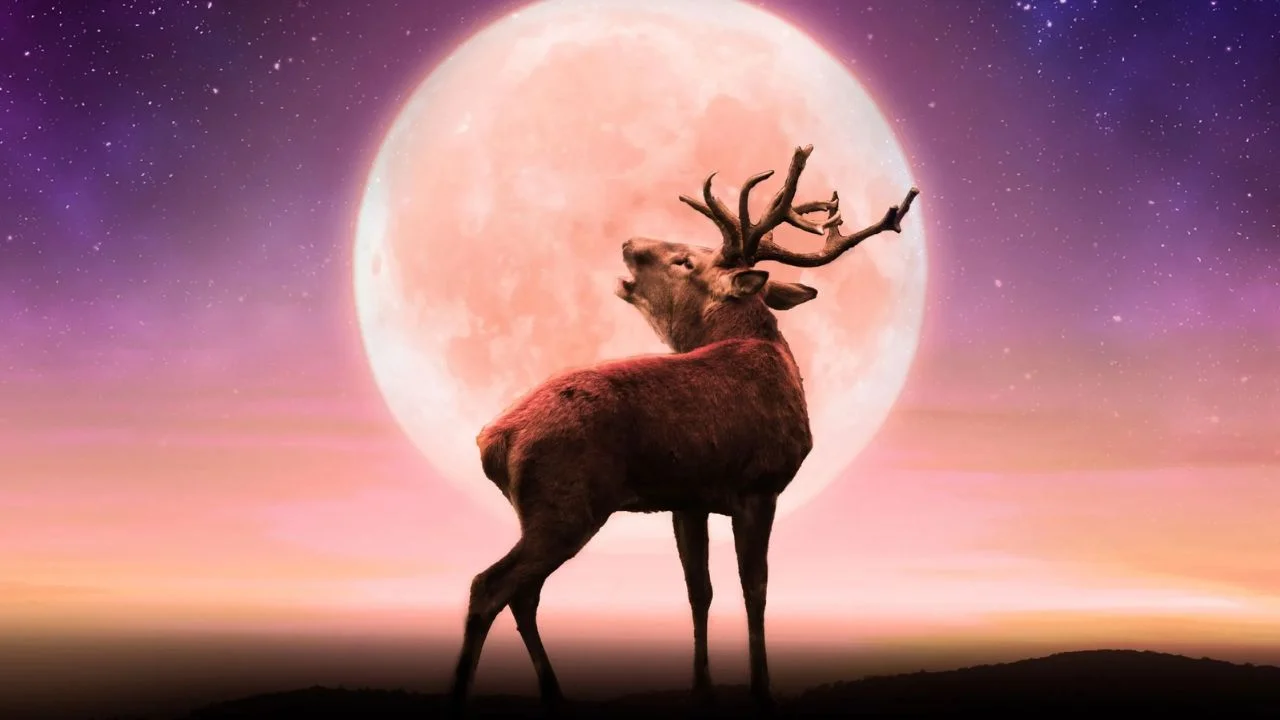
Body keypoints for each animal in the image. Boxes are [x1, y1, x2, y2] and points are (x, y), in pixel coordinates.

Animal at [447, 143, 919, 715]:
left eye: (685, 260)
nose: (628, 243)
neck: (769, 351)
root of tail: (493, 439)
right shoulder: (760, 484)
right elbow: (754, 588)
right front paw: (761, 690)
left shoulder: (689, 499)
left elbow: (702, 590)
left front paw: (704, 688)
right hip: (564, 505)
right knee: (489, 587)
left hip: (545, 512)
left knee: (523, 595)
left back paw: (555, 693)